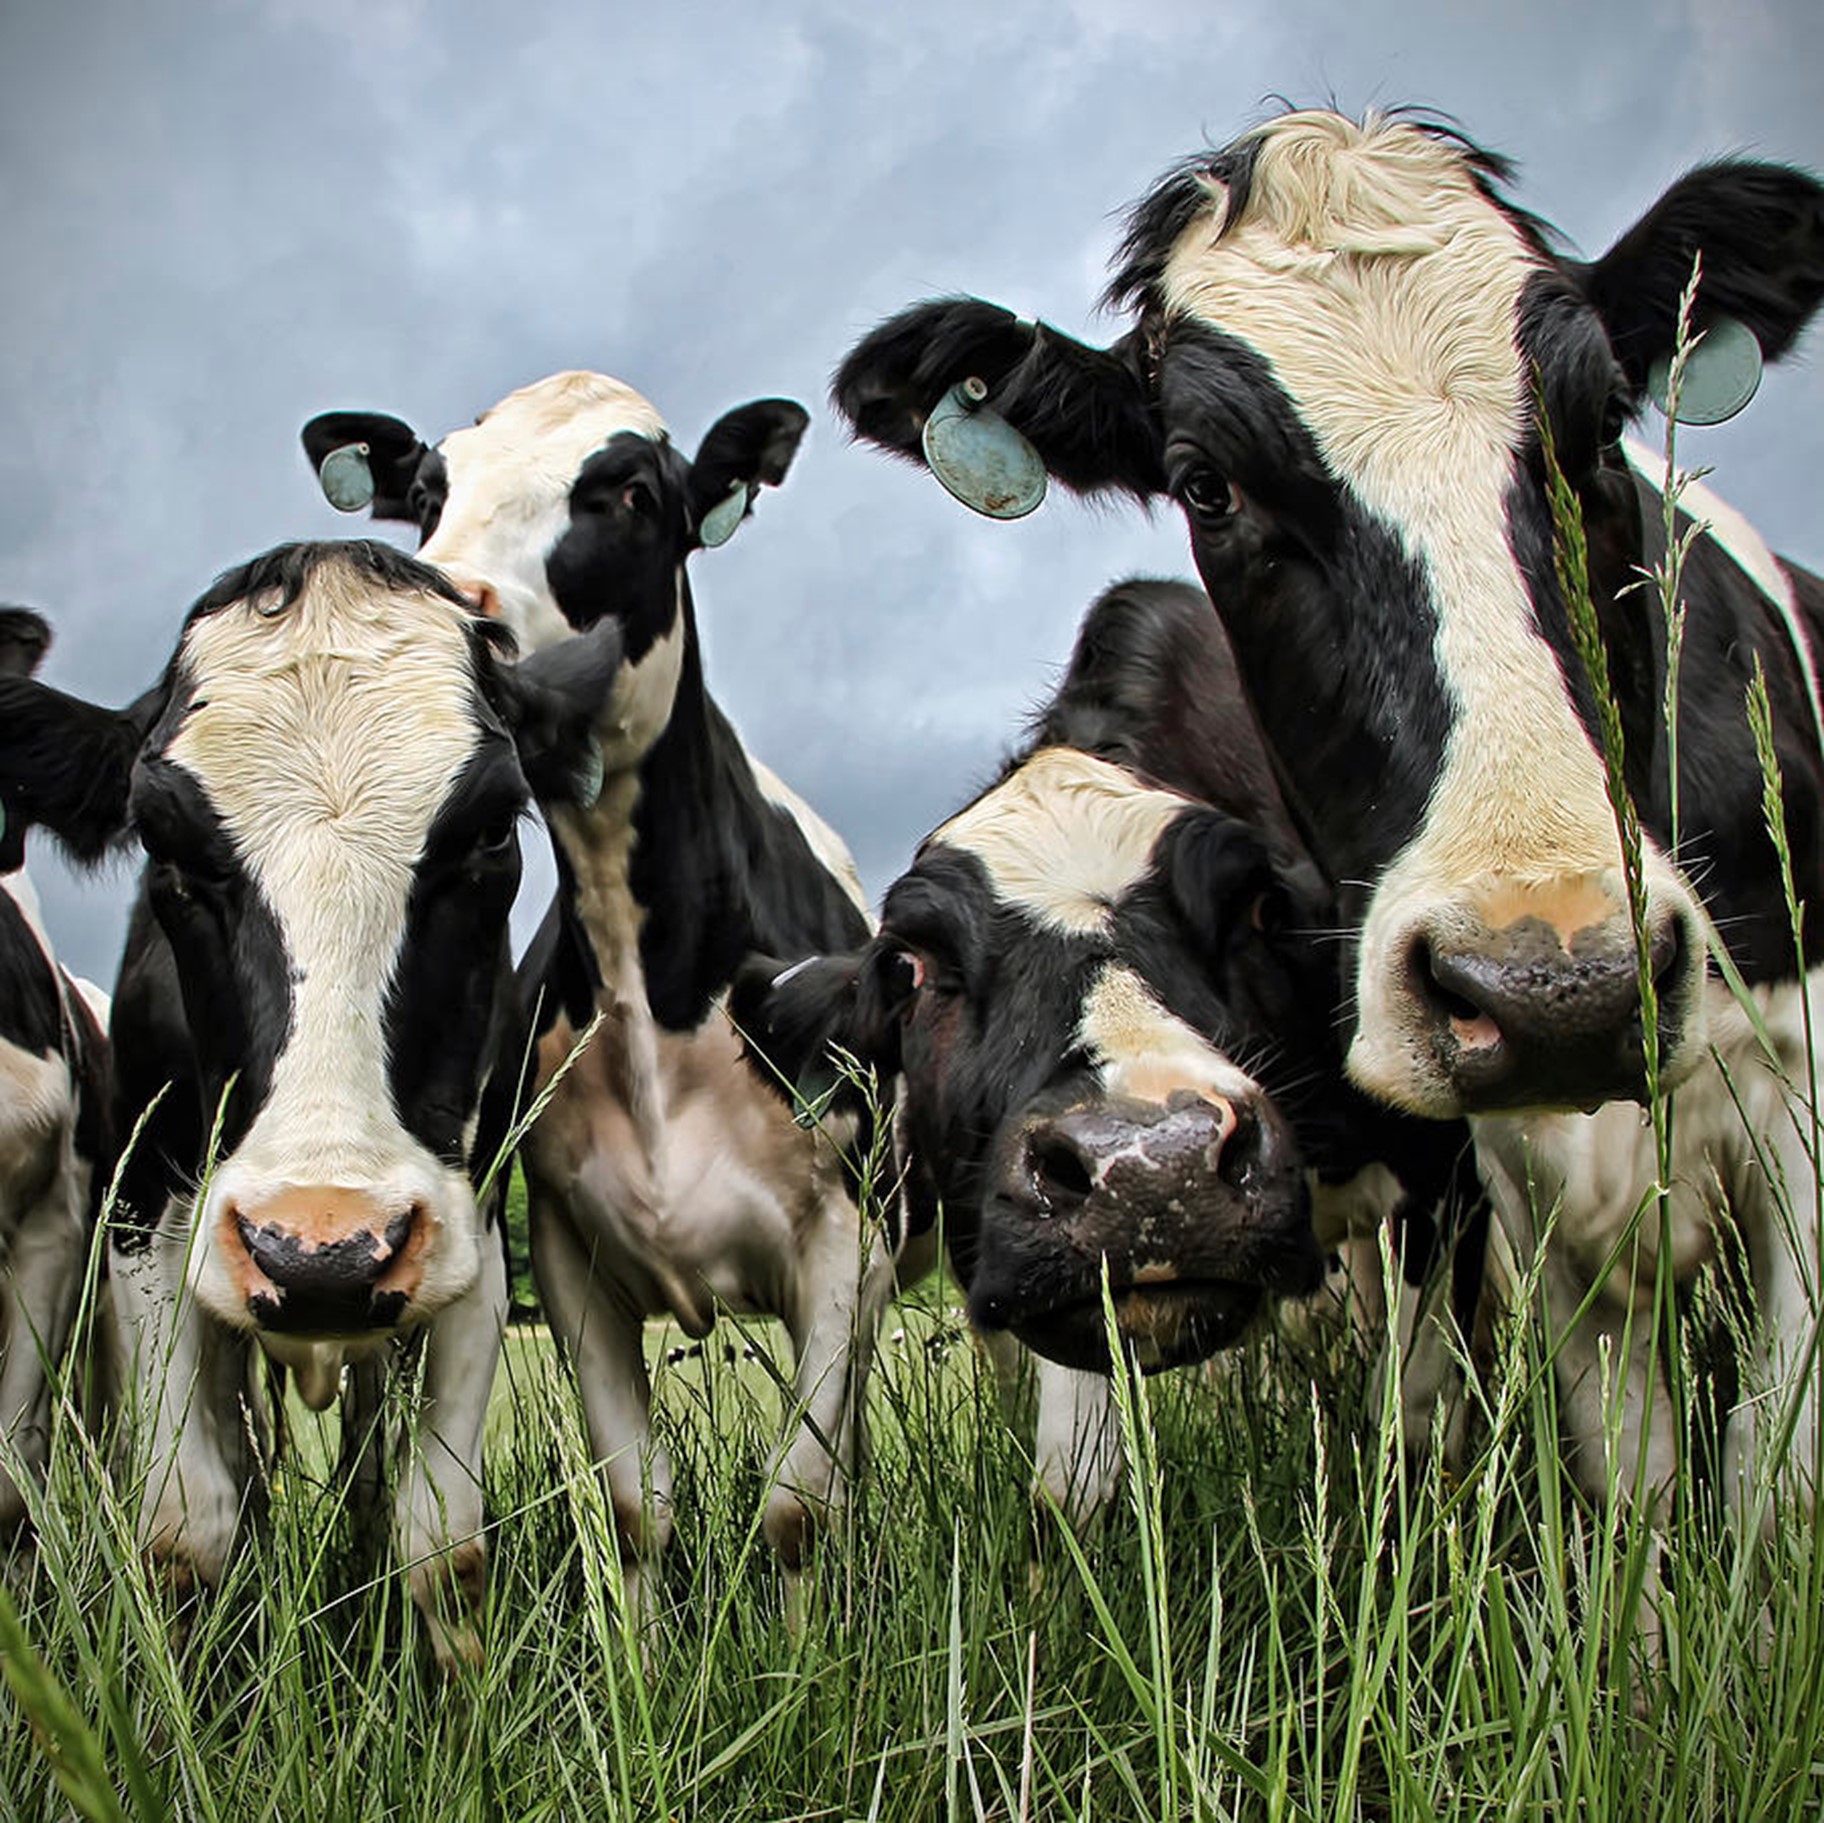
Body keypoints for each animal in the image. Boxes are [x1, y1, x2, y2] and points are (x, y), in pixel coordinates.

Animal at [0, 543, 622, 1665]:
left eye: (491, 832)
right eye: (165, 845)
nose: (319, 1250)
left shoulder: (469, 1226)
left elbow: (442, 1537)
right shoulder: (140, 1218)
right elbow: (186, 1527)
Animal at [299, 372, 900, 1627]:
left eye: (628, 491)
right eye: (425, 493)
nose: (459, 629)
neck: (655, 981)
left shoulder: (844, 1238)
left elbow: (798, 1500)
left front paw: (808, 1651)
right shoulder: (570, 1250)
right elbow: (635, 1503)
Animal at [733, 576, 1483, 1520]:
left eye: (1263, 909)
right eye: (910, 964)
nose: (1153, 1170)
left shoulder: (1443, 1168)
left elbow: (1416, 1432)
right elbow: (1072, 1481)